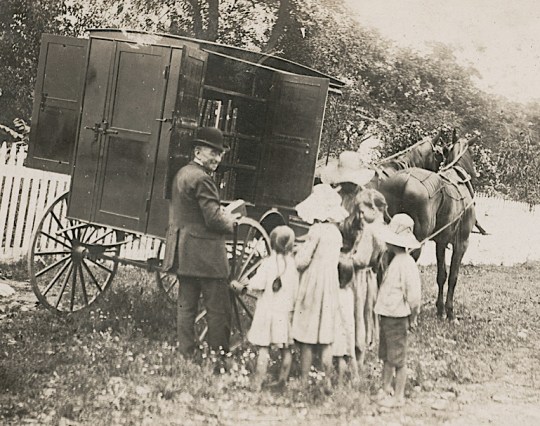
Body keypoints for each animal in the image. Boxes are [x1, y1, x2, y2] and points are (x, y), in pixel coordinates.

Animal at [378, 135, 478, 322]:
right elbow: (453, 276)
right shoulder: (462, 242)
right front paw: (450, 312)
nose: (474, 174)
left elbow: (442, 275)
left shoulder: (441, 242)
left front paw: (440, 310)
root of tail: (403, 182)